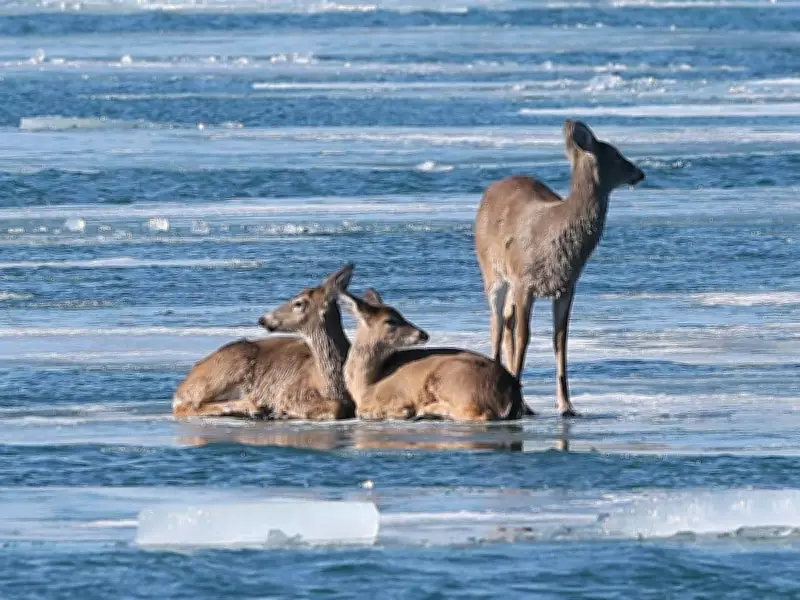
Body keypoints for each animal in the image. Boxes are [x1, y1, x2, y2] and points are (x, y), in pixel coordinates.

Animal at [172, 264, 356, 420]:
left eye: (299, 302)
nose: (263, 319)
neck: (328, 385)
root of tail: (183, 385)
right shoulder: (288, 392)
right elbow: (335, 408)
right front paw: (281, 411)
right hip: (228, 369)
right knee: (186, 407)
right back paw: (255, 408)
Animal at [338, 288, 525, 421]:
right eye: (390, 321)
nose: (423, 334)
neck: (366, 384)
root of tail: (511, 391)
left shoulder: (394, 395)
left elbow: (364, 411)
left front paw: (404, 411)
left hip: (453, 381)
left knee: (480, 414)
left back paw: (429, 411)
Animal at [474, 120, 645, 417]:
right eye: (614, 154)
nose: (640, 173)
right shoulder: (525, 281)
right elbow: (525, 337)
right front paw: (515, 403)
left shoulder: (566, 286)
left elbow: (560, 341)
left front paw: (566, 405)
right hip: (492, 271)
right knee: (497, 325)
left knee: (506, 322)